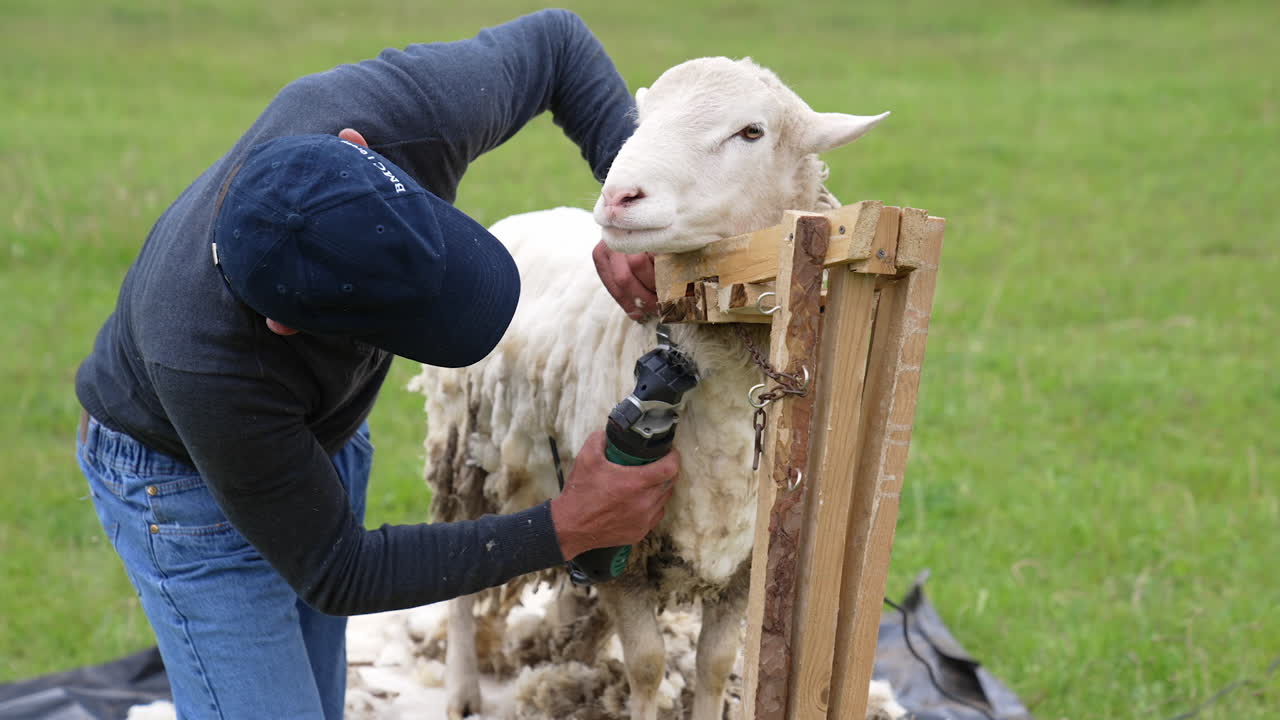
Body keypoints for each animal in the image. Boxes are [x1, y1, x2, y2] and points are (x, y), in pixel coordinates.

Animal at [412, 56, 889, 720]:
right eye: (644, 120)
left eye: (752, 132)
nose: (618, 197)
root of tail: (526, 216)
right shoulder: (623, 547)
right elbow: (647, 666)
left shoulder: (746, 562)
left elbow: (714, 666)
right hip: (464, 457)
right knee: (460, 581)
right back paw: (462, 688)